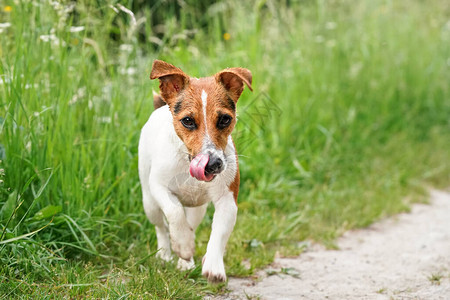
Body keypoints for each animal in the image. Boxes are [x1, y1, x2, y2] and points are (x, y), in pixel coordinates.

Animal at [139, 59, 251, 282]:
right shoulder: (159, 186)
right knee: (161, 227)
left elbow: (219, 233)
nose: (213, 164)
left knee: (191, 222)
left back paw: (185, 262)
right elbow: (174, 212)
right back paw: (165, 253)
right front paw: (183, 244)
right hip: (149, 202)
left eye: (225, 119)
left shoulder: (227, 200)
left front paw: (214, 265)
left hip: (198, 208)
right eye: (188, 121)